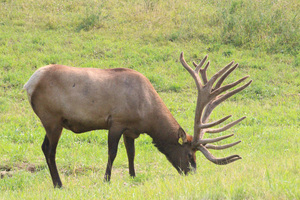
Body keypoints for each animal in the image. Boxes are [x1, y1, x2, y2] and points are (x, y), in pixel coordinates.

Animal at [24, 51, 252, 188]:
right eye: (189, 155)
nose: (191, 174)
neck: (147, 114)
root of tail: (29, 83)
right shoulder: (116, 121)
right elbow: (112, 153)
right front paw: (106, 180)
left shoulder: (130, 131)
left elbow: (131, 154)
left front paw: (133, 176)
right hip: (52, 119)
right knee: (49, 150)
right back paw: (59, 184)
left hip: (53, 122)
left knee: (44, 147)